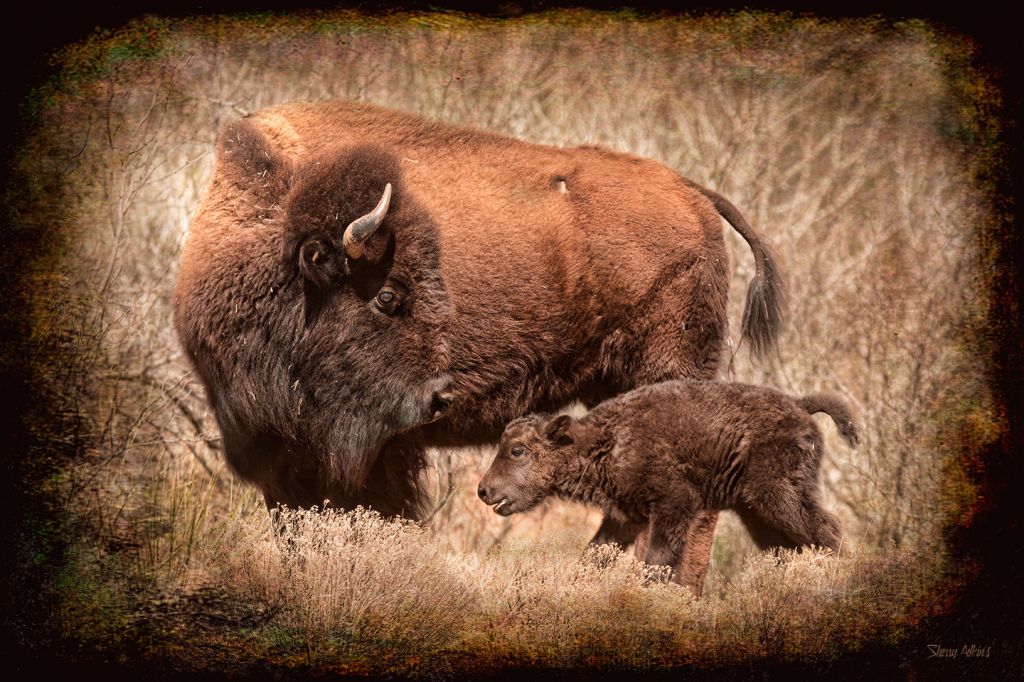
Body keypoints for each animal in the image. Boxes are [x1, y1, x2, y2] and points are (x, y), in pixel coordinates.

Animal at [174, 96, 782, 569]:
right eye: (389, 295)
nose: (440, 397)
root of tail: (691, 192)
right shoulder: (278, 457)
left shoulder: (379, 452)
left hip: (666, 374)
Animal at [477, 378, 856, 593]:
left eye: (517, 450)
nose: (483, 490)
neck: (607, 440)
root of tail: (800, 406)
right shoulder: (624, 518)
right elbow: (593, 556)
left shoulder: (674, 505)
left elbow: (657, 561)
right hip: (755, 513)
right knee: (787, 548)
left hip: (777, 496)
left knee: (826, 527)